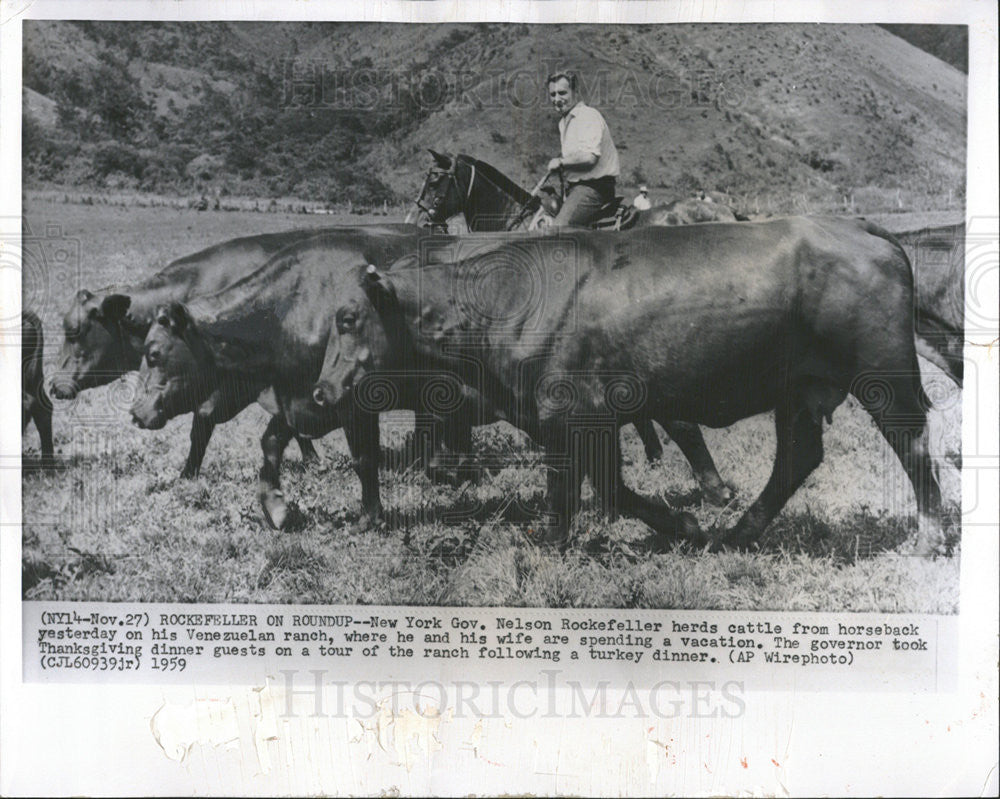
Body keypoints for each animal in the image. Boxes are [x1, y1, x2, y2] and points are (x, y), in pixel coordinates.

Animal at [314, 219, 944, 556]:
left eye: (348, 319)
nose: (322, 390)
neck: (502, 304)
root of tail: (859, 227)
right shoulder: (570, 419)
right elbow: (596, 487)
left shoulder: (575, 412)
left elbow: (590, 487)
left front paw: (673, 526)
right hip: (800, 389)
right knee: (797, 457)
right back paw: (739, 532)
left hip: (885, 377)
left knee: (912, 445)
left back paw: (930, 536)